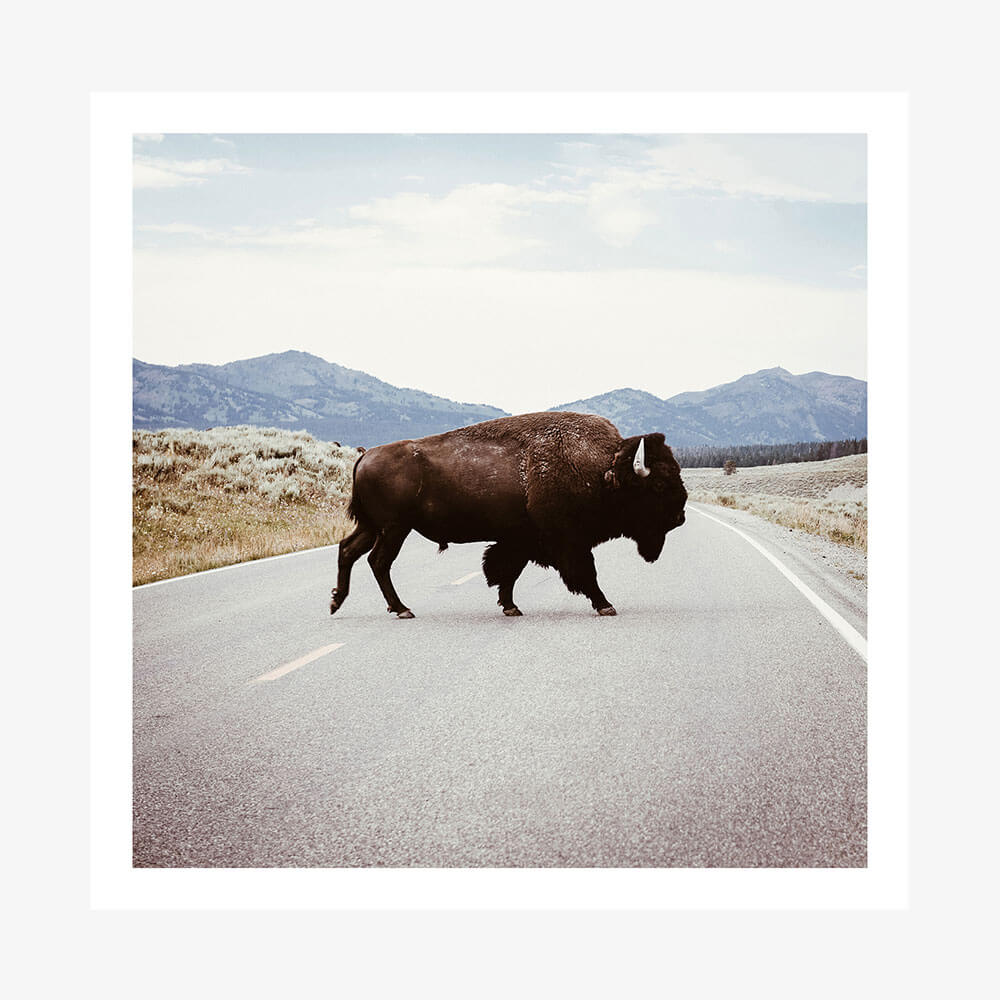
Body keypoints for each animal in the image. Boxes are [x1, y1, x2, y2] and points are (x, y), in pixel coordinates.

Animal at [329, 411, 687, 618]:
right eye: (658, 483)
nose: (681, 516)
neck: (603, 471)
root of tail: (365, 456)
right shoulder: (567, 541)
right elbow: (586, 573)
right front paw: (605, 605)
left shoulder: (521, 540)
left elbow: (506, 572)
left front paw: (511, 607)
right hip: (394, 528)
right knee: (378, 561)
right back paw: (402, 609)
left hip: (373, 526)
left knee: (349, 550)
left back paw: (338, 602)